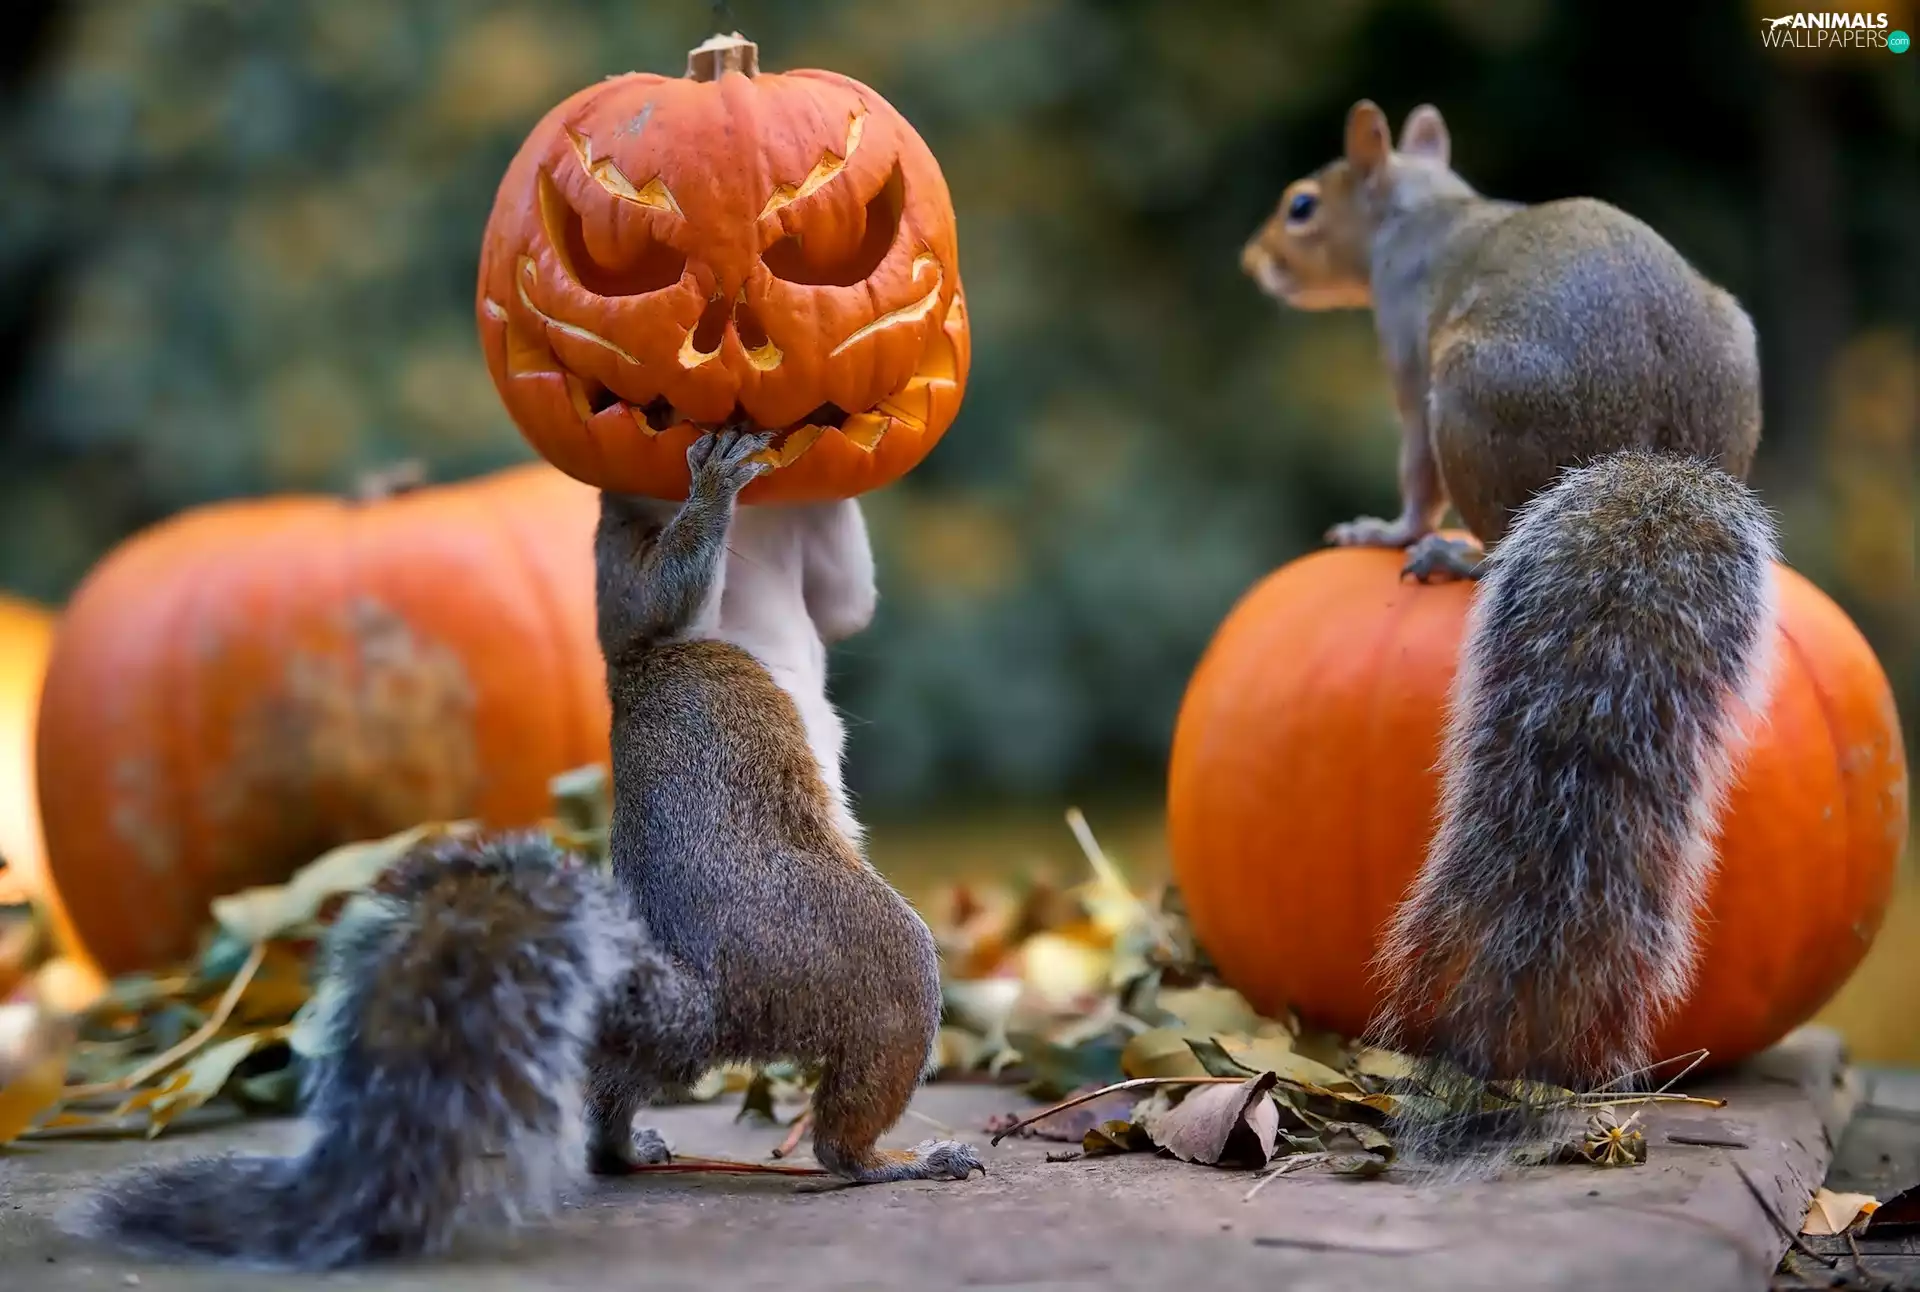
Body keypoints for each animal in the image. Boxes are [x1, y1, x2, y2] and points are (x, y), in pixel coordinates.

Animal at [79, 429, 981, 1268]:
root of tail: (703, 997)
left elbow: (845, 600)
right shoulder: (626, 590)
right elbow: (655, 599)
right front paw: (715, 479)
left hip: (672, 1043)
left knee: (618, 1099)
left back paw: (626, 1145)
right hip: (865, 959)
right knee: (846, 1120)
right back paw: (897, 1160)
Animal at [1242, 102, 1780, 1163]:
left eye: (1303, 205)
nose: (1255, 261)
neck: (1425, 212)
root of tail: (1655, 450)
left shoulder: (1407, 358)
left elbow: (1411, 472)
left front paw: (1387, 529)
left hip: (1470, 397)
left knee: (1483, 524)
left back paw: (1453, 557)